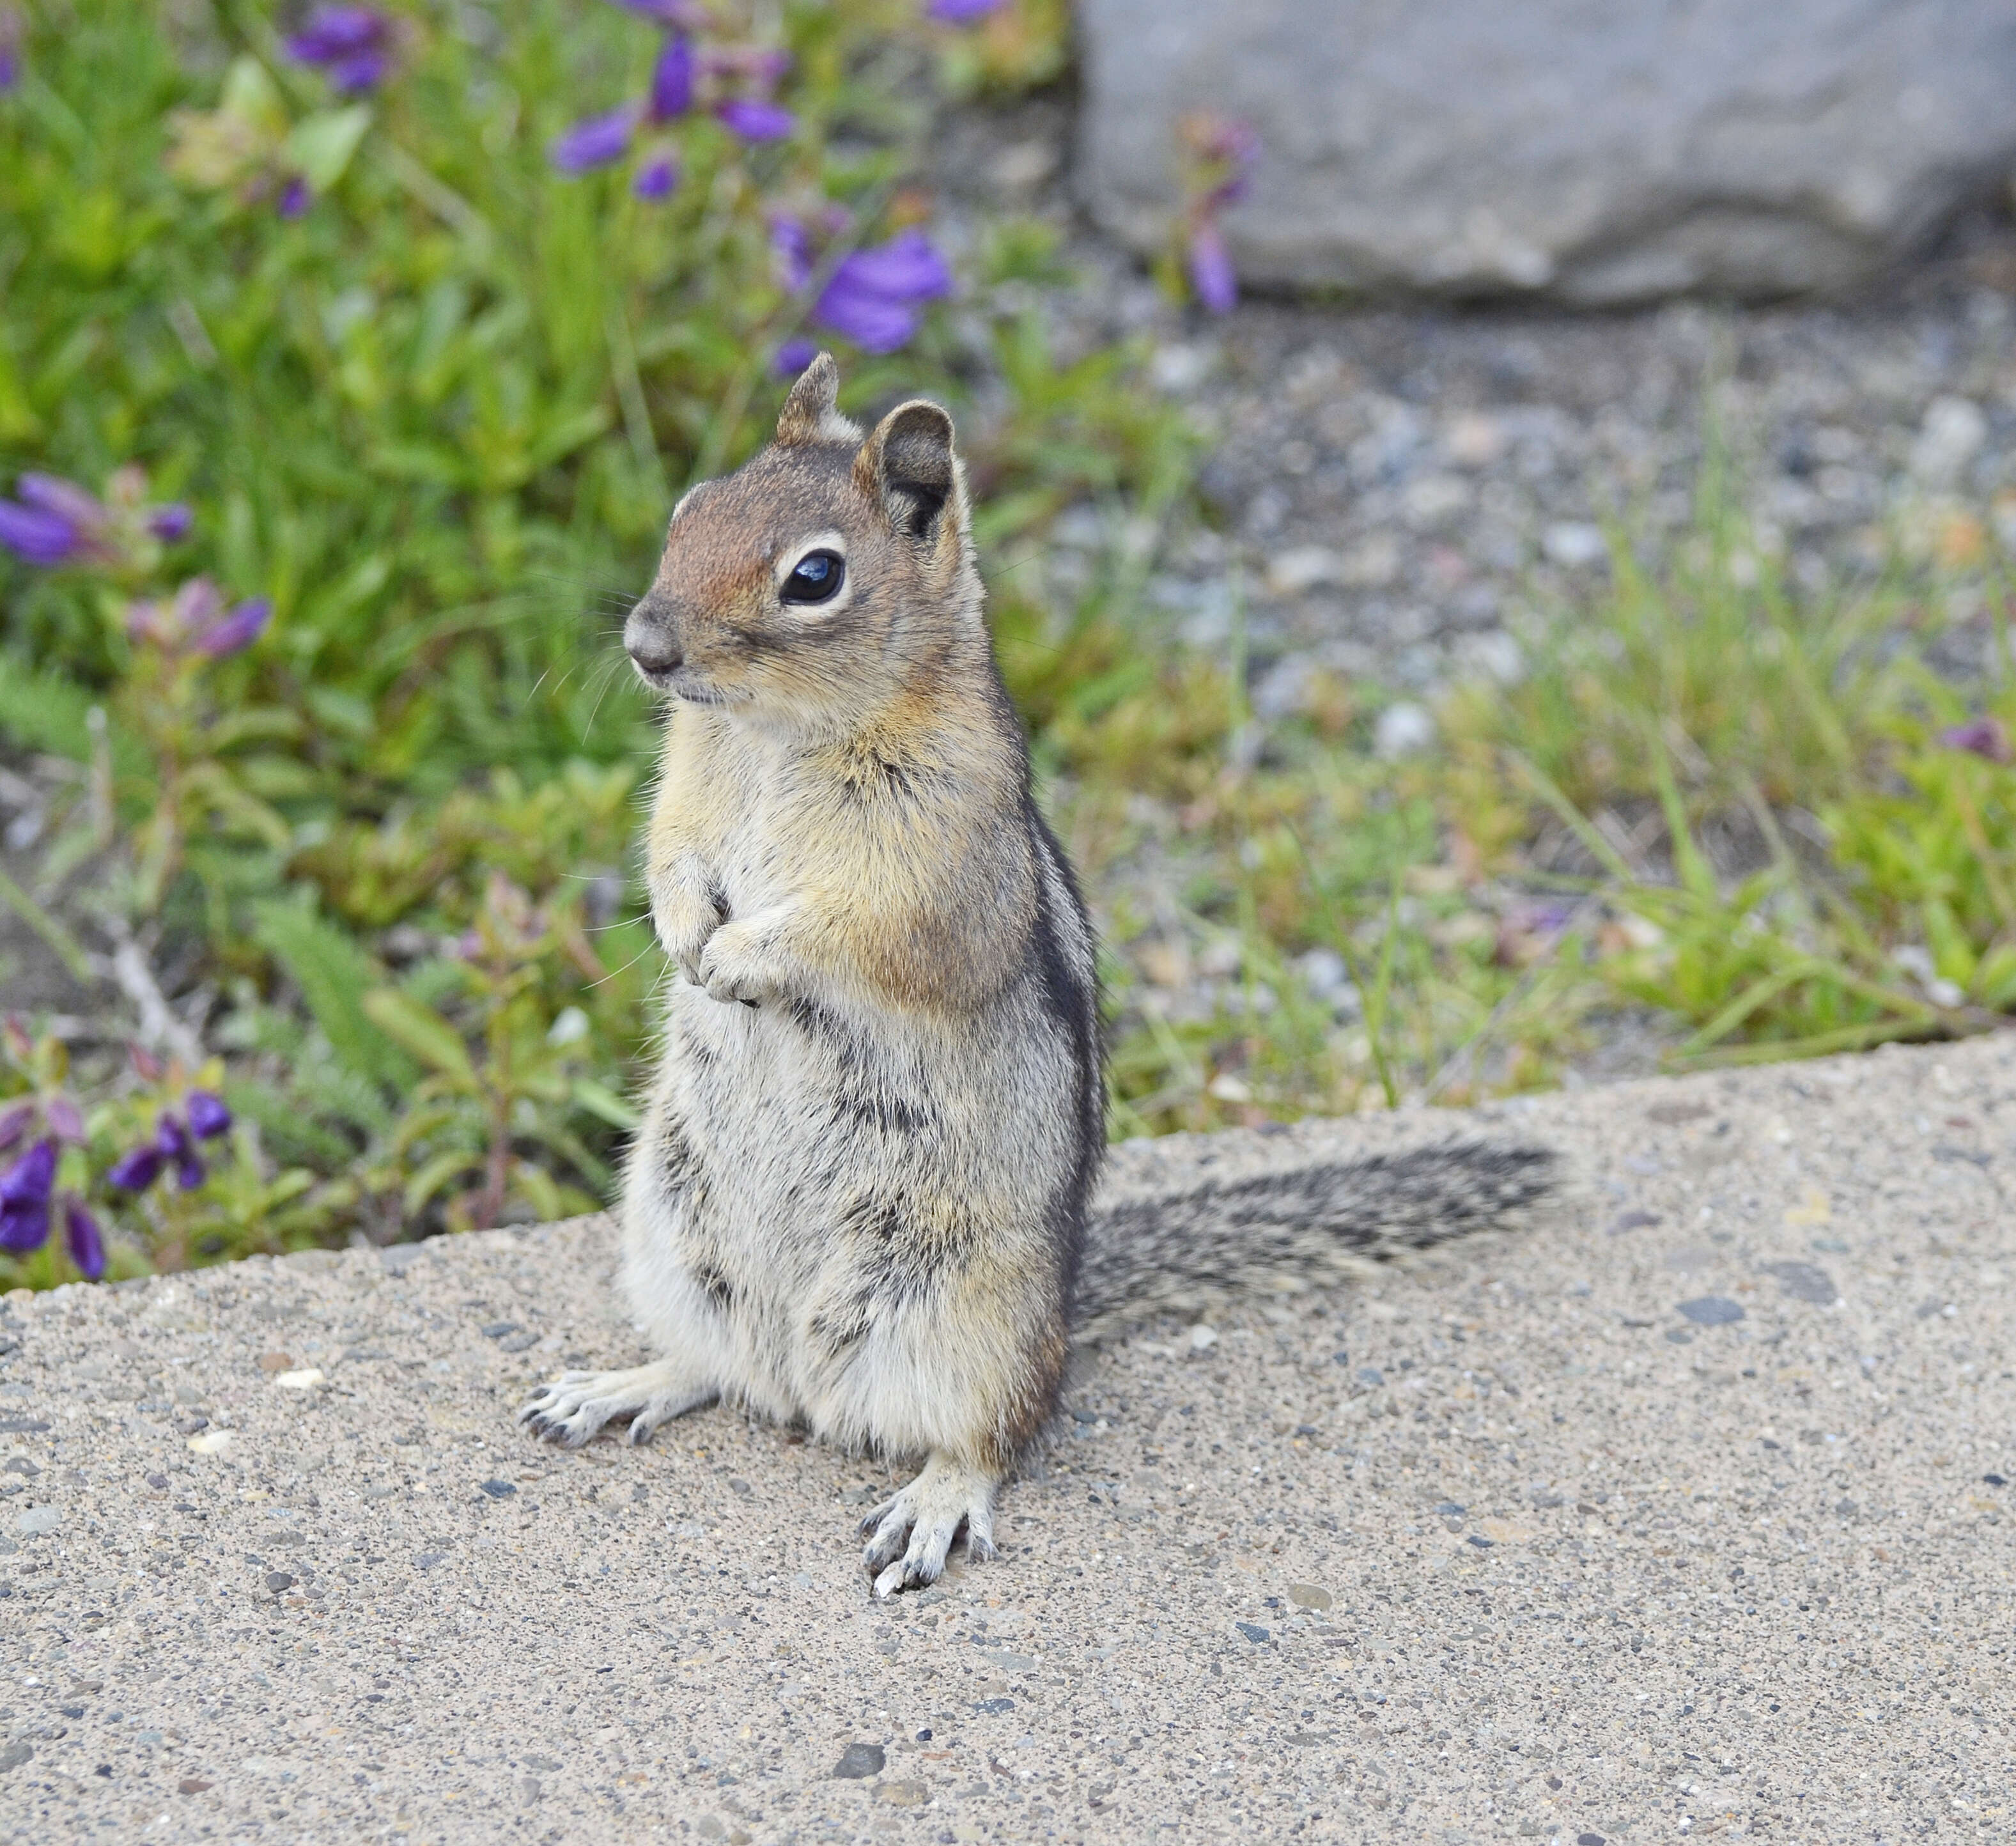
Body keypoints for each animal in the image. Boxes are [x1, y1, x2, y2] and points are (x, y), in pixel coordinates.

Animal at [524, 352, 1556, 1596]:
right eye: (690, 507)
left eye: (813, 576)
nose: (645, 645)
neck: (776, 735)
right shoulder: (683, 797)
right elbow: (669, 857)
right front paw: (683, 934)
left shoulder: (932, 869)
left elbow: (851, 932)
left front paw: (735, 954)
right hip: (674, 1241)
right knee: (724, 1371)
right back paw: (620, 1383)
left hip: (957, 1315)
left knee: (995, 1432)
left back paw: (931, 1502)